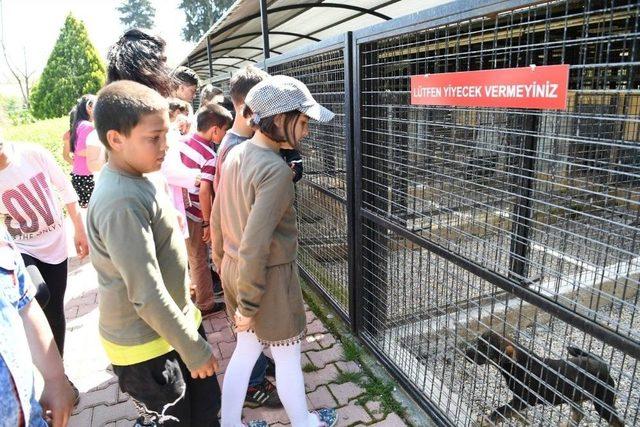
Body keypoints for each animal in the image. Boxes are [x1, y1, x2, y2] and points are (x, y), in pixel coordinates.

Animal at [464, 332, 624, 426]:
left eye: (484, 348)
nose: (466, 352)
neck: (518, 364)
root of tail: (603, 364)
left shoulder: (523, 399)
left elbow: (501, 410)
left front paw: (485, 421)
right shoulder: (519, 401)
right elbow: (511, 412)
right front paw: (524, 421)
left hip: (603, 403)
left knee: (617, 422)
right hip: (573, 396)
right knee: (579, 414)